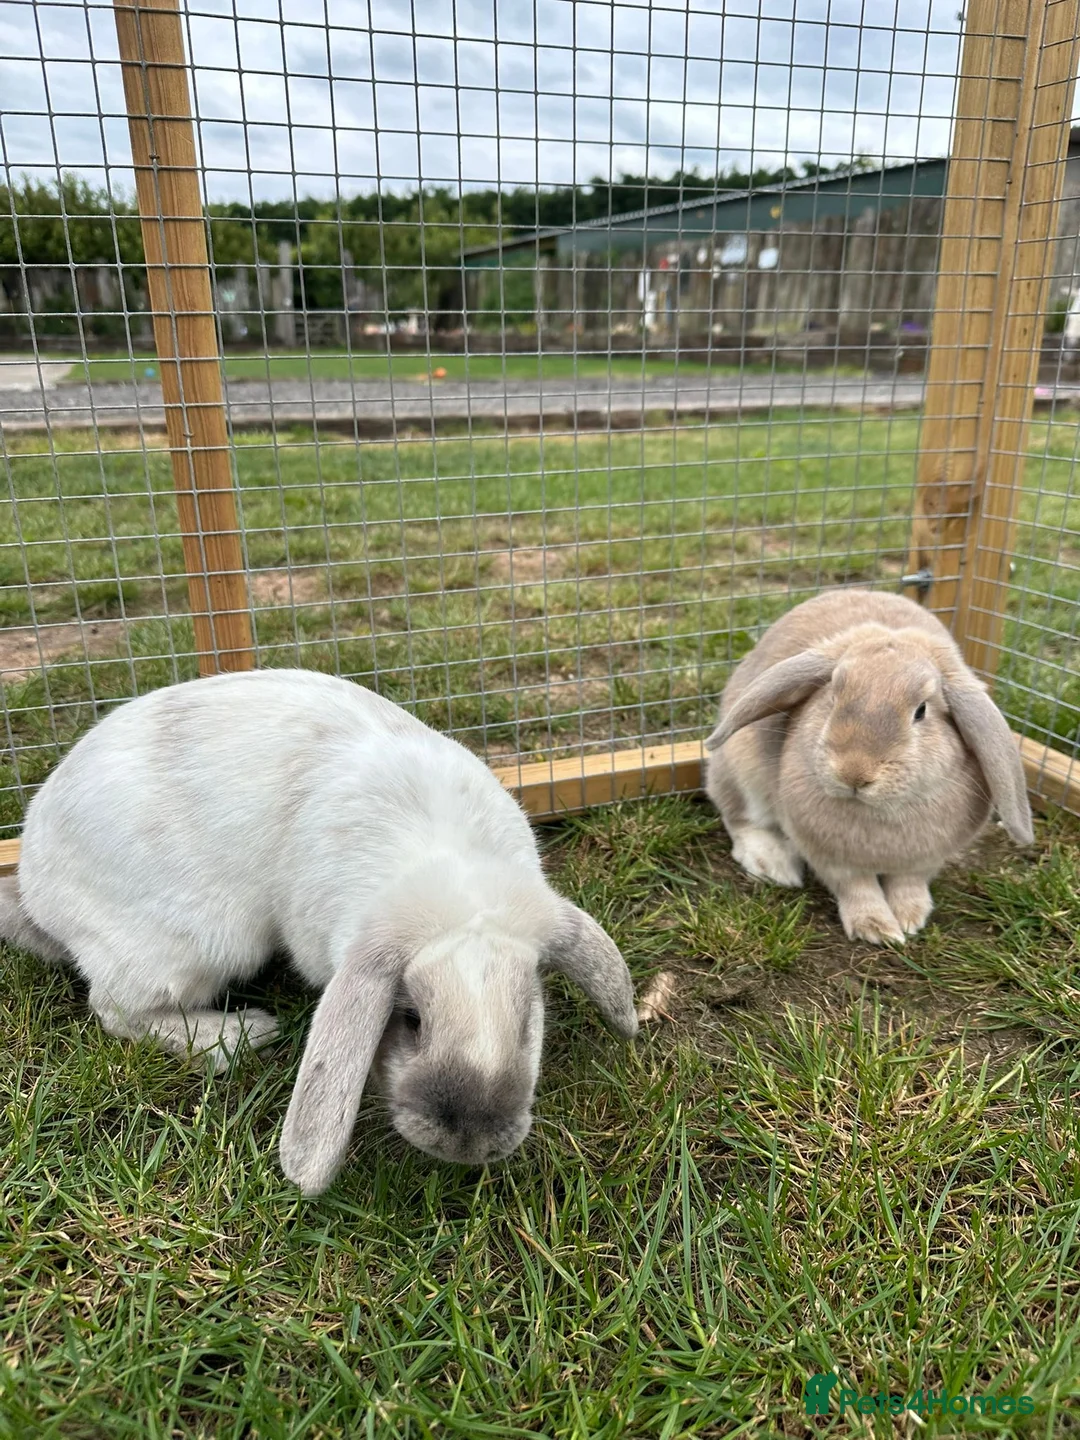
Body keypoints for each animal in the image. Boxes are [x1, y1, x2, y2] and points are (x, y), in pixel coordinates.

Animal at [0, 668, 638, 1195]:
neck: (448, 864)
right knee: (116, 1010)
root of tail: (34, 888)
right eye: (411, 1021)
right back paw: (239, 1035)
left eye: (529, 1021)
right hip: (193, 946)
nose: (469, 1140)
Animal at [704, 589, 1033, 945]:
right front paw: (876, 928)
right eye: (832, 697)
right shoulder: (832, 858)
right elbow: (856, 889)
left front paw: (911, 918)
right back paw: (774, 866)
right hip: (739, 769)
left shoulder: (922, 860)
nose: (854, 773)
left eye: (921, 710)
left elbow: (908, 884)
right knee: (740, 819)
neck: (881, 814)